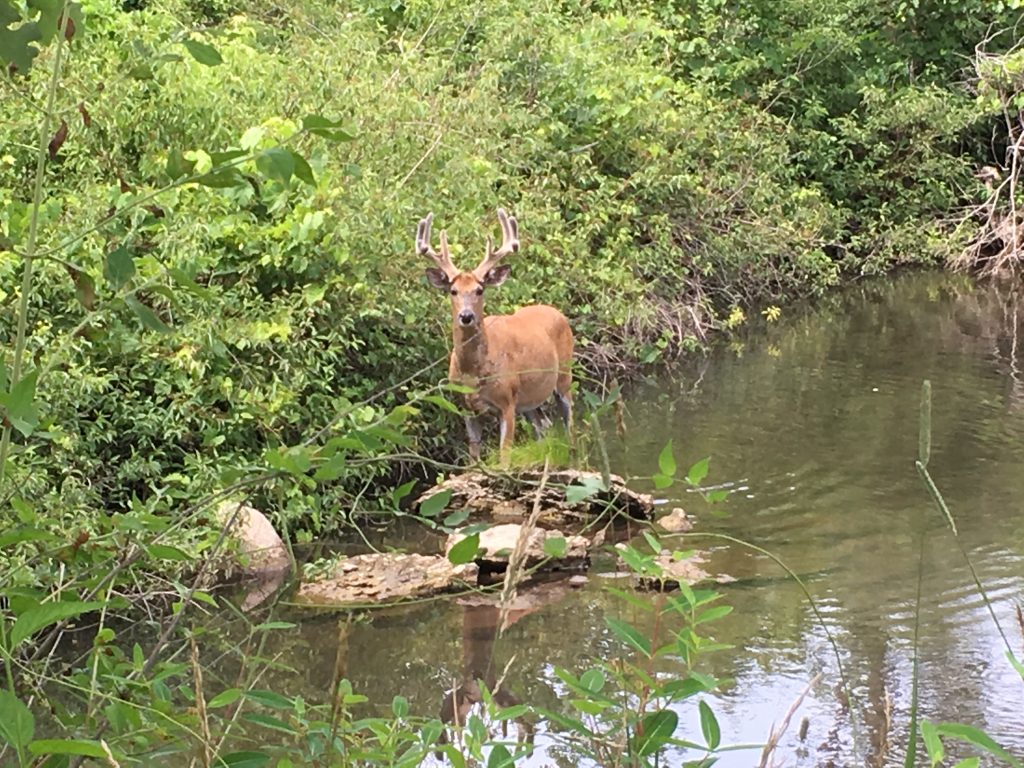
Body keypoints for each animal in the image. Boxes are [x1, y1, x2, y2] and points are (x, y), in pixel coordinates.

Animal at [417, 208, 573, 464]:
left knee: (570, 422)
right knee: (544, 425)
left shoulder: (507, 402)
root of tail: (557, 312)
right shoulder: (466, 407)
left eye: (480, 289)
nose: (466, 316)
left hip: (564, 376)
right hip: (530, 400)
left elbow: (504, 455)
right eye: (453, 291)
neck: (473, 373)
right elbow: (474, 456)